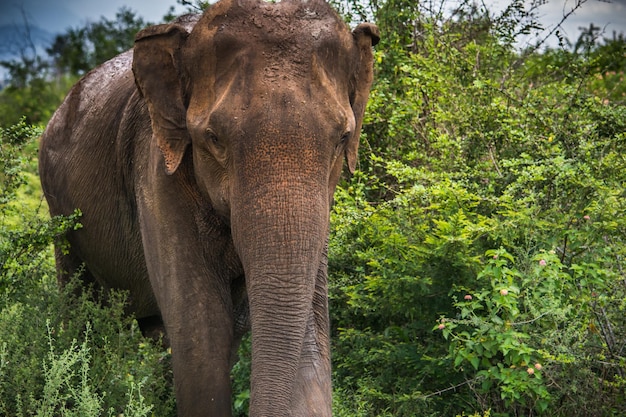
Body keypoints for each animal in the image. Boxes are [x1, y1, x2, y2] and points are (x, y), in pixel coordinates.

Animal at [40, 1, 380, 414]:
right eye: (214, 138)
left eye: (343, 138)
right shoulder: (157, 174)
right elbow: (203, 331)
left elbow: (310, 333)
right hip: (60, 213)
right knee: (81, 309)